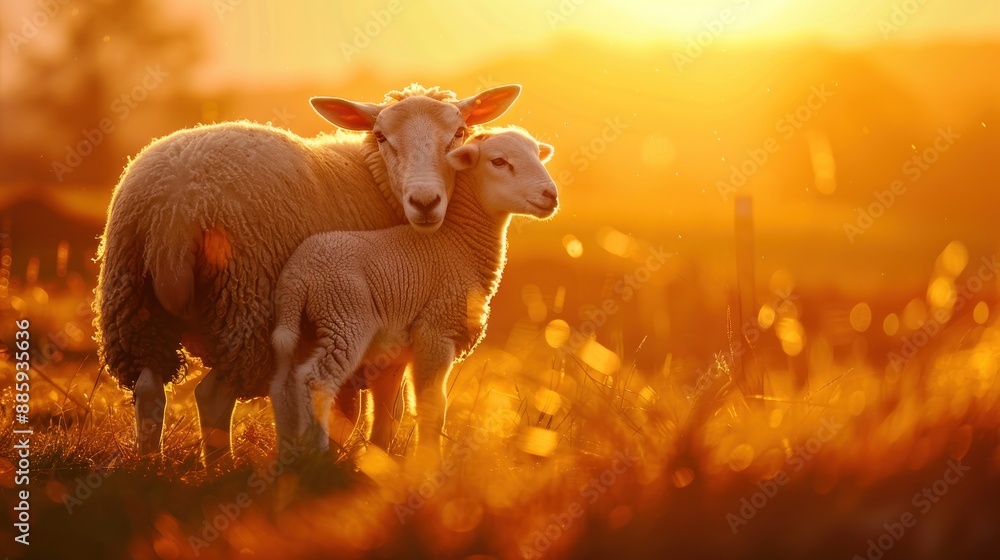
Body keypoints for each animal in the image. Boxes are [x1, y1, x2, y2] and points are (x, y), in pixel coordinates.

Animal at [92, 83, 523, 465]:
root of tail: (175, 211)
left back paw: (151, 467)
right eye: (381, 135)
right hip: (245, 310)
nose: (425, 202)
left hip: (134, 306)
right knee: (212, 396)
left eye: (459, 133)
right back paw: (220, 469)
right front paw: (367, 459)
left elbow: (350, 410)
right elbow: (384, 409)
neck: (375, 179)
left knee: (149, 389)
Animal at [268, 127, 558, 466]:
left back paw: (289, 455)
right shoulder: (435, 332)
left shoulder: (395, 353)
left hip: (302, 328)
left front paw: (381, 458)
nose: (551, 195)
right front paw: (428, 463)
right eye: (498, 161)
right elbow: (433, 408)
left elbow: (391, 411)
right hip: (343, 315)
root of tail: (297, 276)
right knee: (316, 382)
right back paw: (317, 457)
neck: (458, 243)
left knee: (284, 385)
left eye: (537, 155)